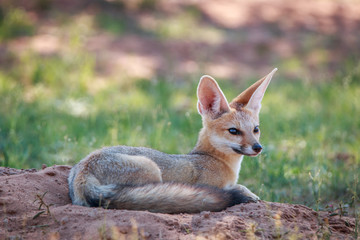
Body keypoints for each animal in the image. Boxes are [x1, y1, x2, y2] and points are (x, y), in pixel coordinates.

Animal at [68, 67, 278, 214]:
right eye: (233, 131)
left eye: (256, 129)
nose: (258, 147)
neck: (214, 160)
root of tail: (84, 170)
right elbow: (240, 187)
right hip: (152, 169)